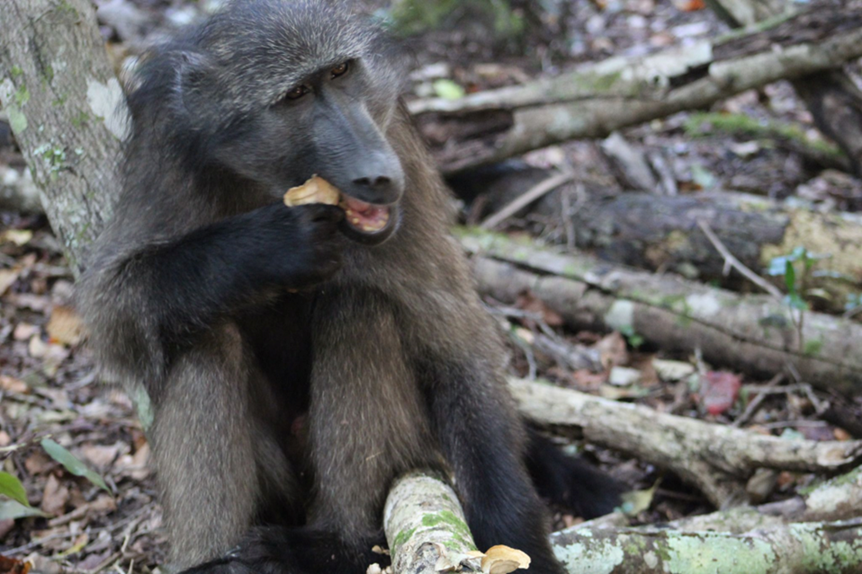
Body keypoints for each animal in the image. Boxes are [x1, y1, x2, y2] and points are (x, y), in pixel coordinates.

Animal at [77, 1, 620, 572]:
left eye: (340, 72)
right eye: (296, 94)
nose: (376, 173)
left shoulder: (398, 147)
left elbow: (456, 342)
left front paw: (517, 538)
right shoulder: (164, 152)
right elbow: (110, 305)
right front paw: (271, 244)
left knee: (358, 306)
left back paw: (339, 545)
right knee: (202, 336)